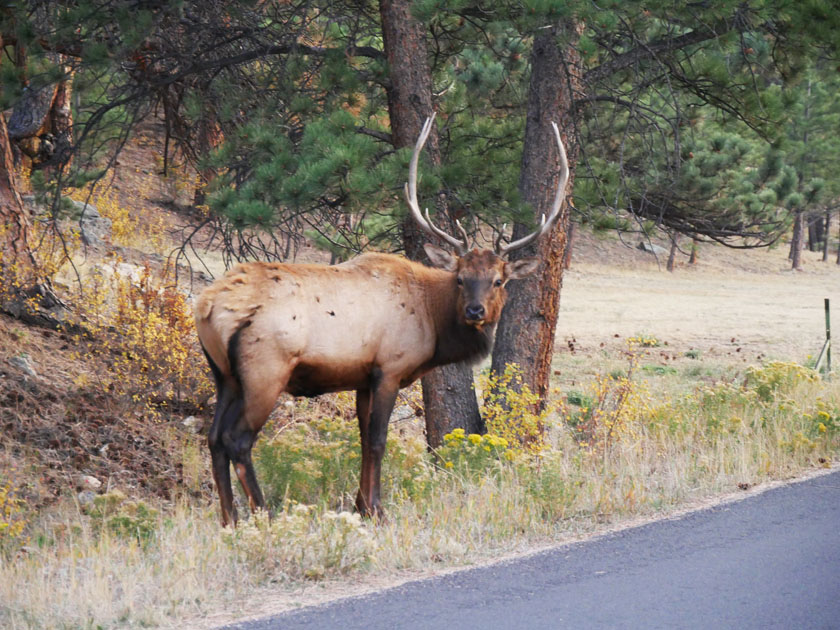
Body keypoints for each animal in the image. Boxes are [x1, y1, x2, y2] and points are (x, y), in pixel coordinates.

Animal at [194, 115, 568, 528]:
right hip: (266, 370)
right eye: (460, 278)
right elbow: (378, 439)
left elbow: (361, 438)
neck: (433, 323)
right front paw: (377, 510)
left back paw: (229, 520)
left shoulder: (361, 376)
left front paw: (361, 505)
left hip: (224, 374)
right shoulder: (389, 367)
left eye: (498, 280)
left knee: (213, 437)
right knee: (237, 439)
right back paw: (264, 516)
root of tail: (208, 305)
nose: (475, 311)